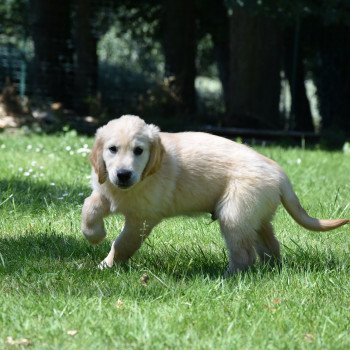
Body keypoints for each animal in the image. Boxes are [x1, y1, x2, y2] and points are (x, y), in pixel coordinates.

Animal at [81, 115, 348, 274]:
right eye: (112, 149)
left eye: (139, 151)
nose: (123, 174)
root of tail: (279, 172)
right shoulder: (106, 190)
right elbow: (89, 206)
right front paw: (95, 235)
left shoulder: (142, 218)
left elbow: (123, 243)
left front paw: (107, 265)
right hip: (256, 214)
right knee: (269, 243)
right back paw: (272, 269)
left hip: (235, 214)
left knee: (245, 254)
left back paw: (229, 275)